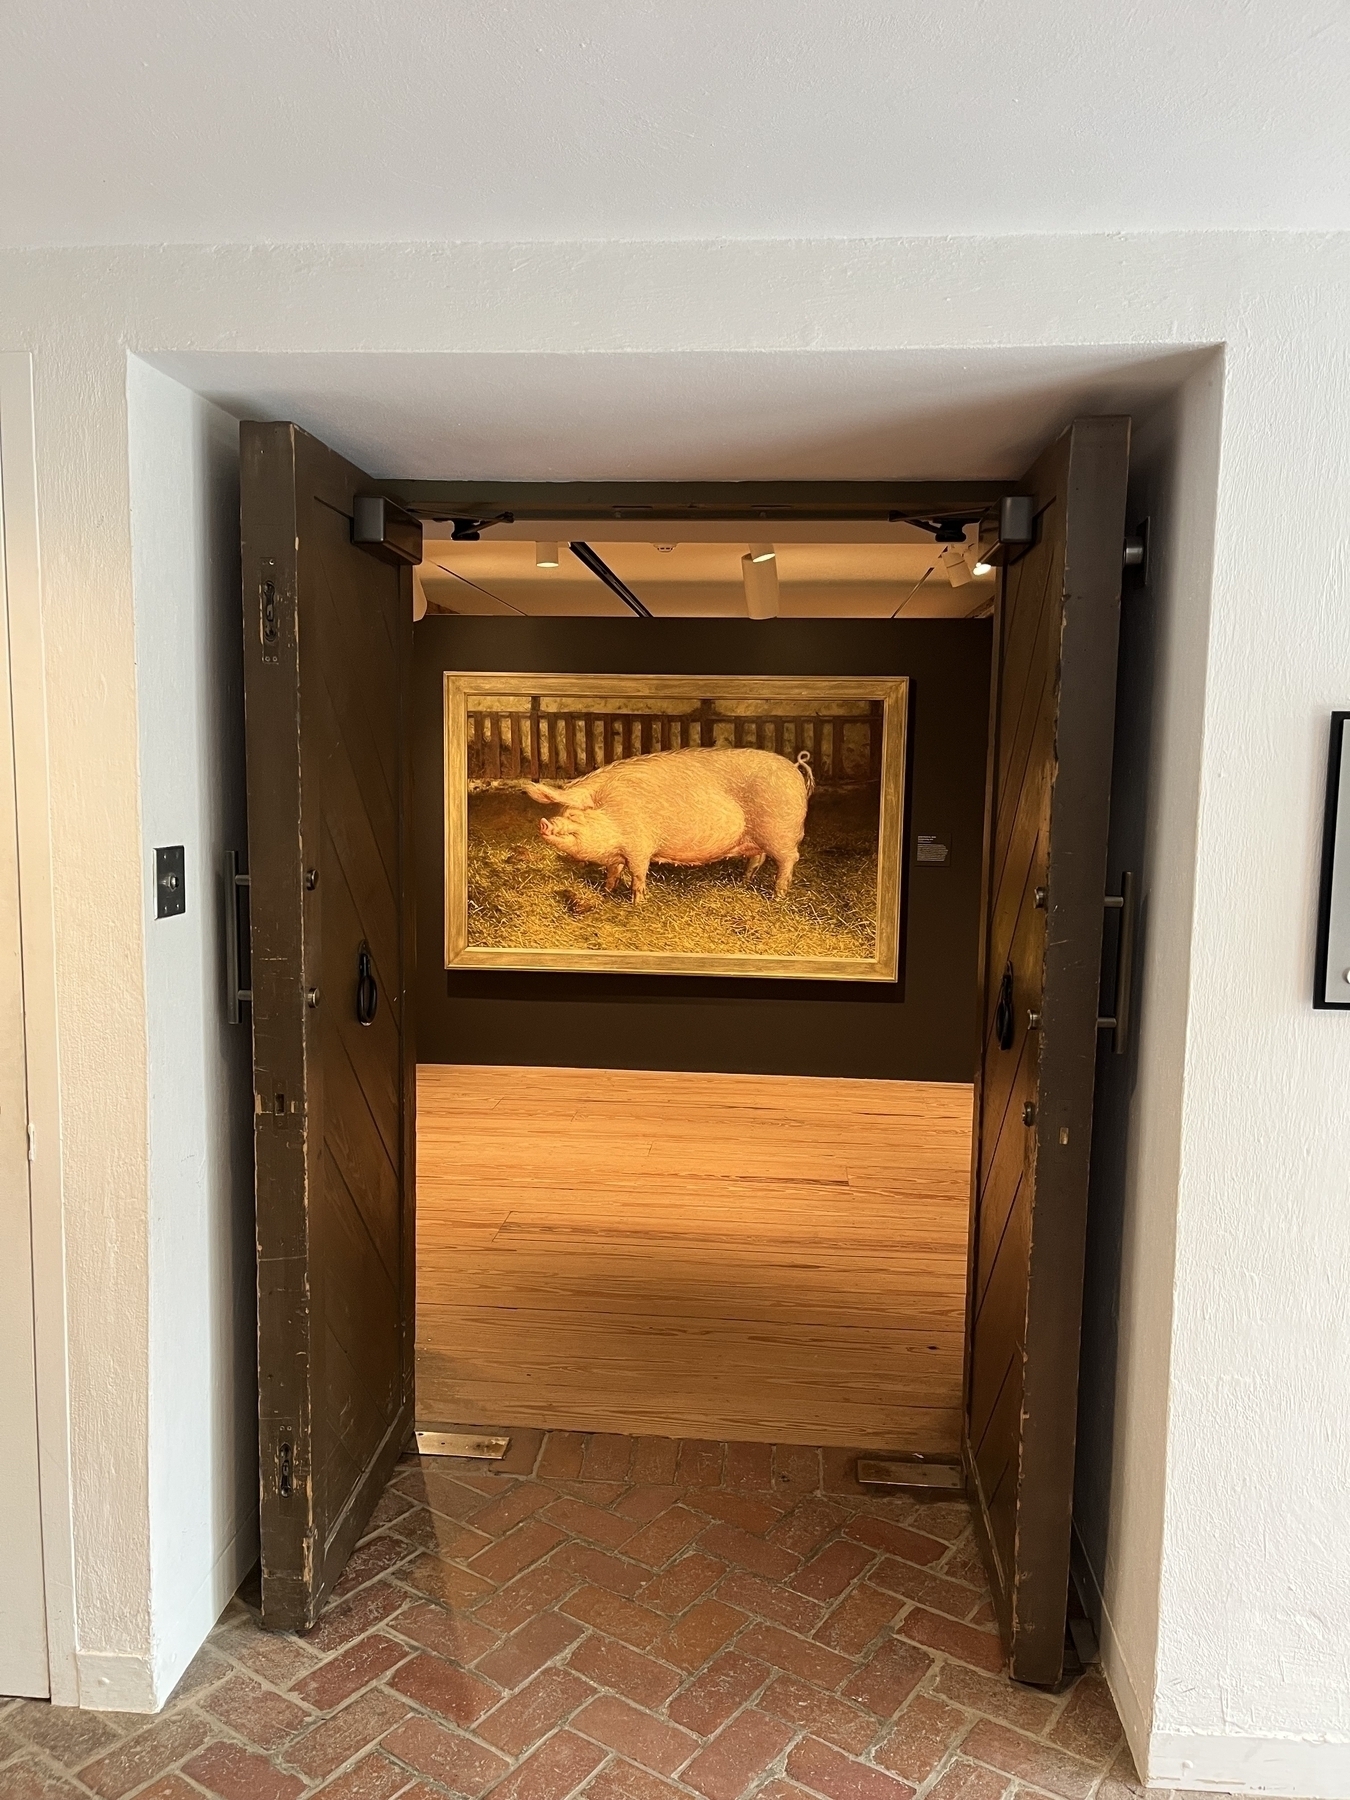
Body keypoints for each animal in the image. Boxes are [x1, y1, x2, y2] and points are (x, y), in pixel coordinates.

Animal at [525, 748, 813, 907]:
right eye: (561, 812)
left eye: (574, 815)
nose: (544, 823)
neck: (613, 811)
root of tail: (794, 767)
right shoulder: (618, 854)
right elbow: (613, 872)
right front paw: (606, 892)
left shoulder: (639, 847)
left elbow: (638, 876)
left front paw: (638, 903)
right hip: (757, 838)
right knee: (758, 858)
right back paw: (744, 883)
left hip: (782, 834)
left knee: (789, 860)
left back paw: (777, 896)